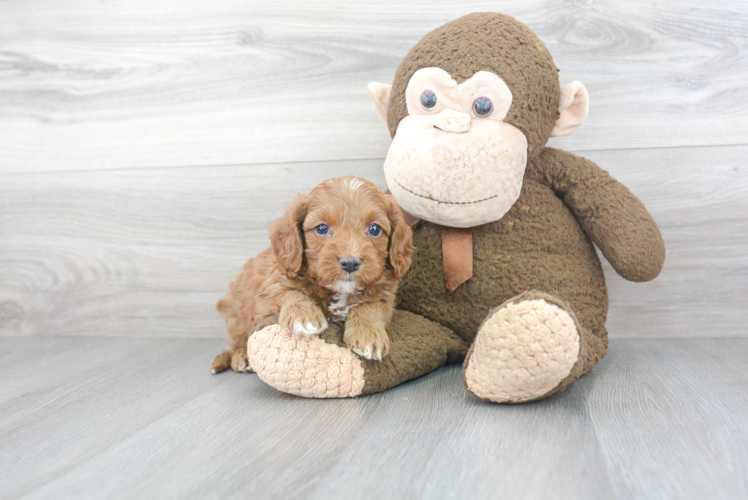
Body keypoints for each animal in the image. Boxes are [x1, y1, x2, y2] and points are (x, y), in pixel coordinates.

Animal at [210, 174, 412, 374]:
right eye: (322, 228)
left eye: (374, 229)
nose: (350, 263)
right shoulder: (267, 294)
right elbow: (291, 292)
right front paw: (303, 315)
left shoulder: (385, 298)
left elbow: (370, 306)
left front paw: (368, 335)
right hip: (236, 318)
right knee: (237, 342)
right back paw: (241, 357)